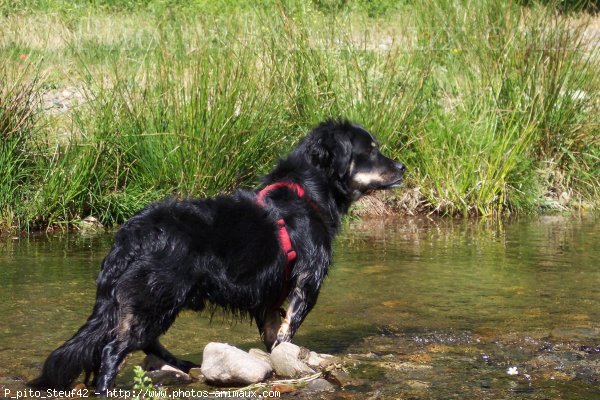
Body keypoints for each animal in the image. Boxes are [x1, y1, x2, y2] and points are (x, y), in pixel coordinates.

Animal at [28, 119, 404, 394]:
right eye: (371, 151)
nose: (401, 166)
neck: (308, 192)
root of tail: (130, 236)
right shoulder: (307, 282)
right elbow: (288, 329)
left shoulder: (269, 295)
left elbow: (273, 336)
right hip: (157, 298)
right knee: (115, 348)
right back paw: (108, 386)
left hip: (152, 299)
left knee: (143, 342)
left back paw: (180, 365)